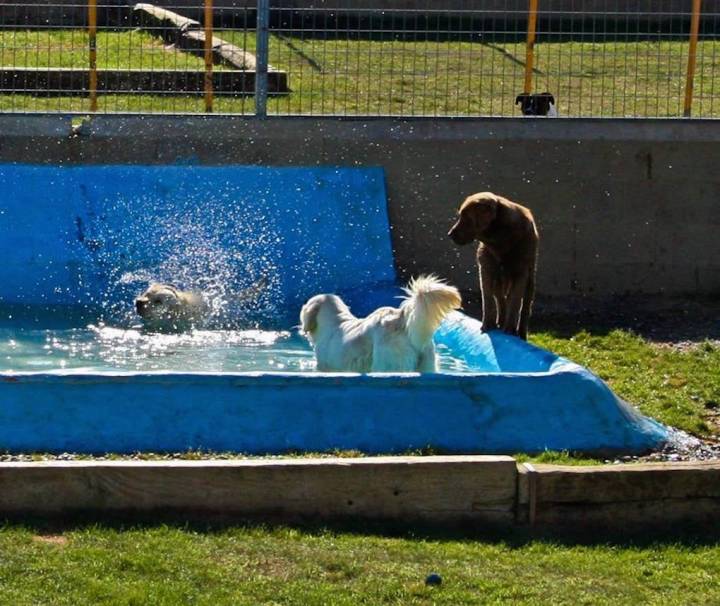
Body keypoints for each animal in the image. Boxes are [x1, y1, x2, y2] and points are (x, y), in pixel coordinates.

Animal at [448, 192, 536, 340]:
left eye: (466, 217)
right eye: (460, 216)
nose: (449, 235)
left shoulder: (520, 272)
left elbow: (515, 301)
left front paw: (510, 329)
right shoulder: (486, 269)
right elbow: (488, 298)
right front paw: (488, 325)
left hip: (530, 279)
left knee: (524, 306)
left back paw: (520, 334)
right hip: (498, 279)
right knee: (500, 299)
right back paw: (500, 322)